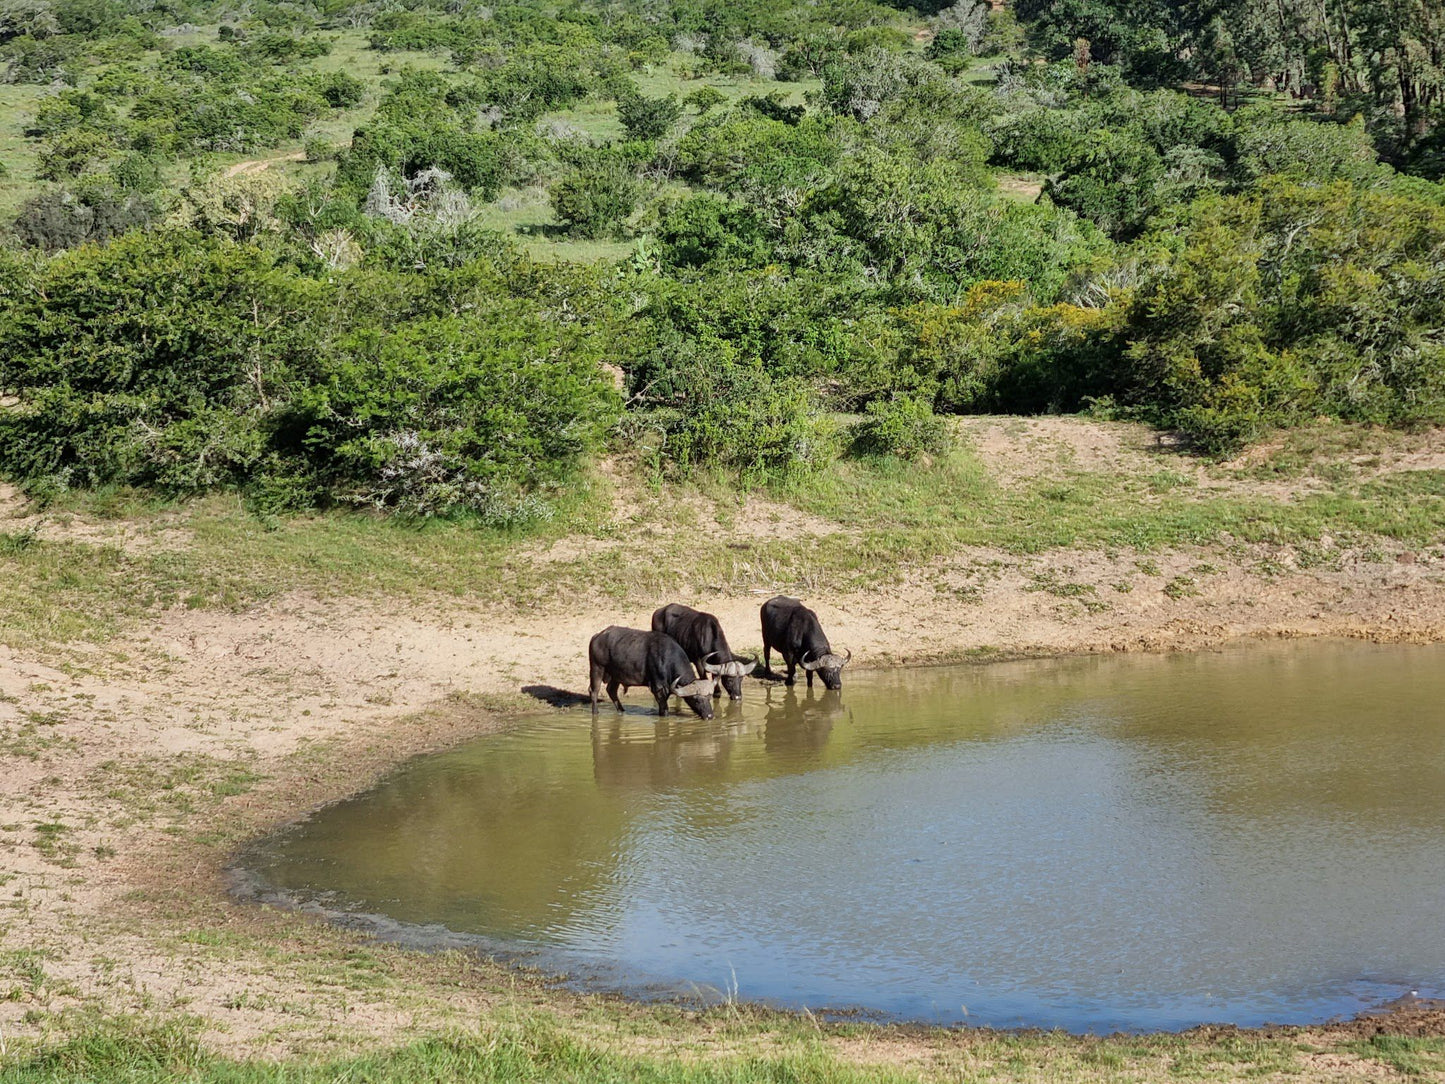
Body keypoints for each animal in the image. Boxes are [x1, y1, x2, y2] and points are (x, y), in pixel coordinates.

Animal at [586, 627, 716, 722]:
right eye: (696, 700)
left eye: (709, 697)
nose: (709, 716)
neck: (665, 659)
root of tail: (596, 637)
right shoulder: (657, 688)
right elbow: (664, 709)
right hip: (597, 668)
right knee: (594, 691)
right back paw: (595, 712)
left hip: (616, 675)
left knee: (611, 690)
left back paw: (622, 711)